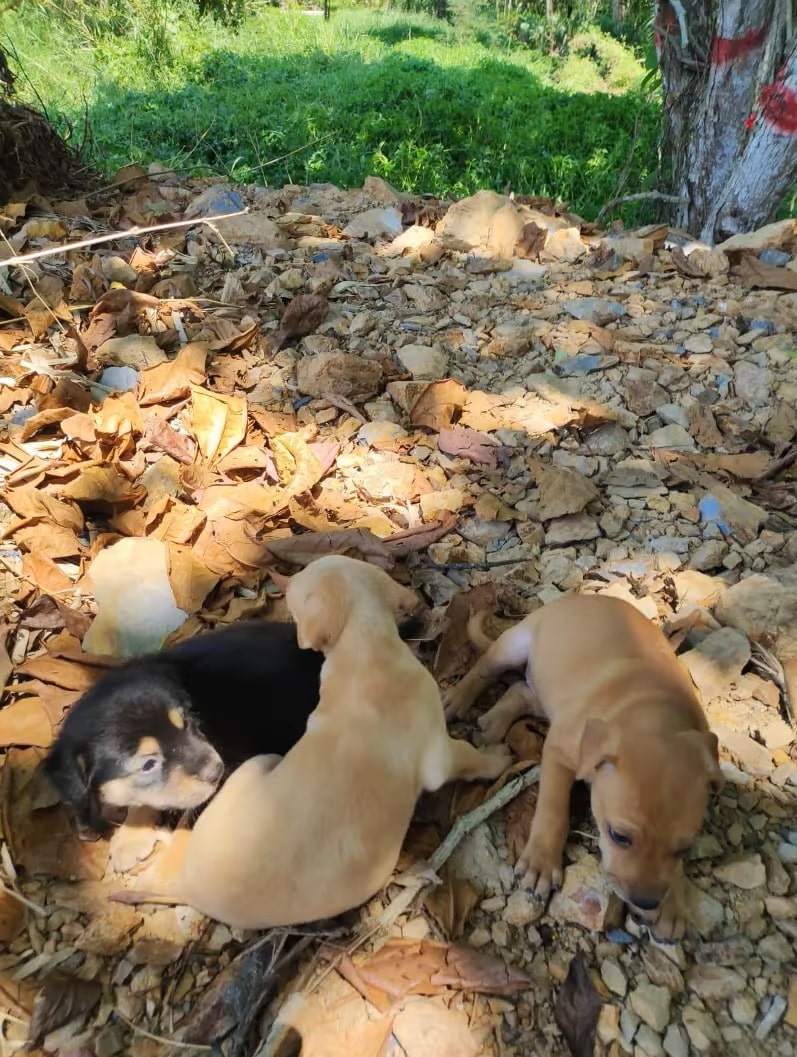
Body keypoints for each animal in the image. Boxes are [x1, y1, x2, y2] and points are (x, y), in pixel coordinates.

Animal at [165, 558, 509, 930]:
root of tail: (184, 884)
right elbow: (471, 758)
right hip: (260, 762)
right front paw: (499, 758)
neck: (363, 647)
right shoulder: (439, 755)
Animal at [443, 596, 718, 942]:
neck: (653, 711)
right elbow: (552, 811)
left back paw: (494, 722)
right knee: (485, 669)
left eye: (685, 847)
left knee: (520, 691)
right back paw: (459, 700)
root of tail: (581, 596)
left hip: (549, 690)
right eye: (619, 836)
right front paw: (541, 863)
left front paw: (673, 905)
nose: (646, 902)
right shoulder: (558, 751)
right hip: (514, 645)